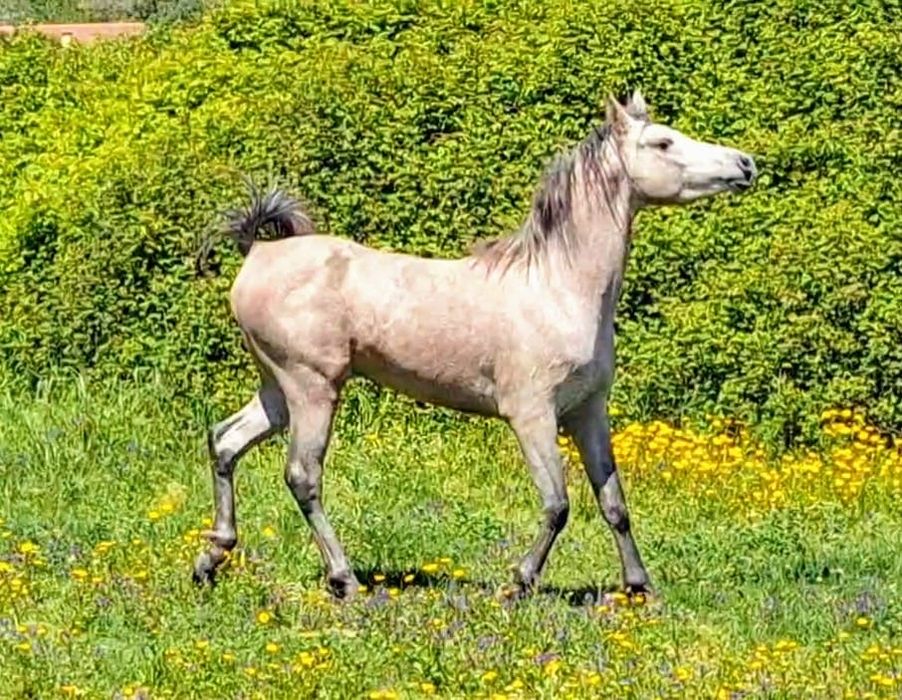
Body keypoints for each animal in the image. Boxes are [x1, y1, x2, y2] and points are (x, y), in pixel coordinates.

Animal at [193, 92, 757, 599]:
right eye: (663, 142)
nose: (745, 165)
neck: (557, 286)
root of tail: (257, 252)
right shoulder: (532, 414)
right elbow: (558, 504)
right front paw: (520, 583)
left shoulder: (588, 411)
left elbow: (613, 503)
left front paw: (639, 587)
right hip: (312, 388)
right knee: (302, 476)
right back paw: (344, 579)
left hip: (277, 390)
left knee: (225, 442)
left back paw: (211, 559)